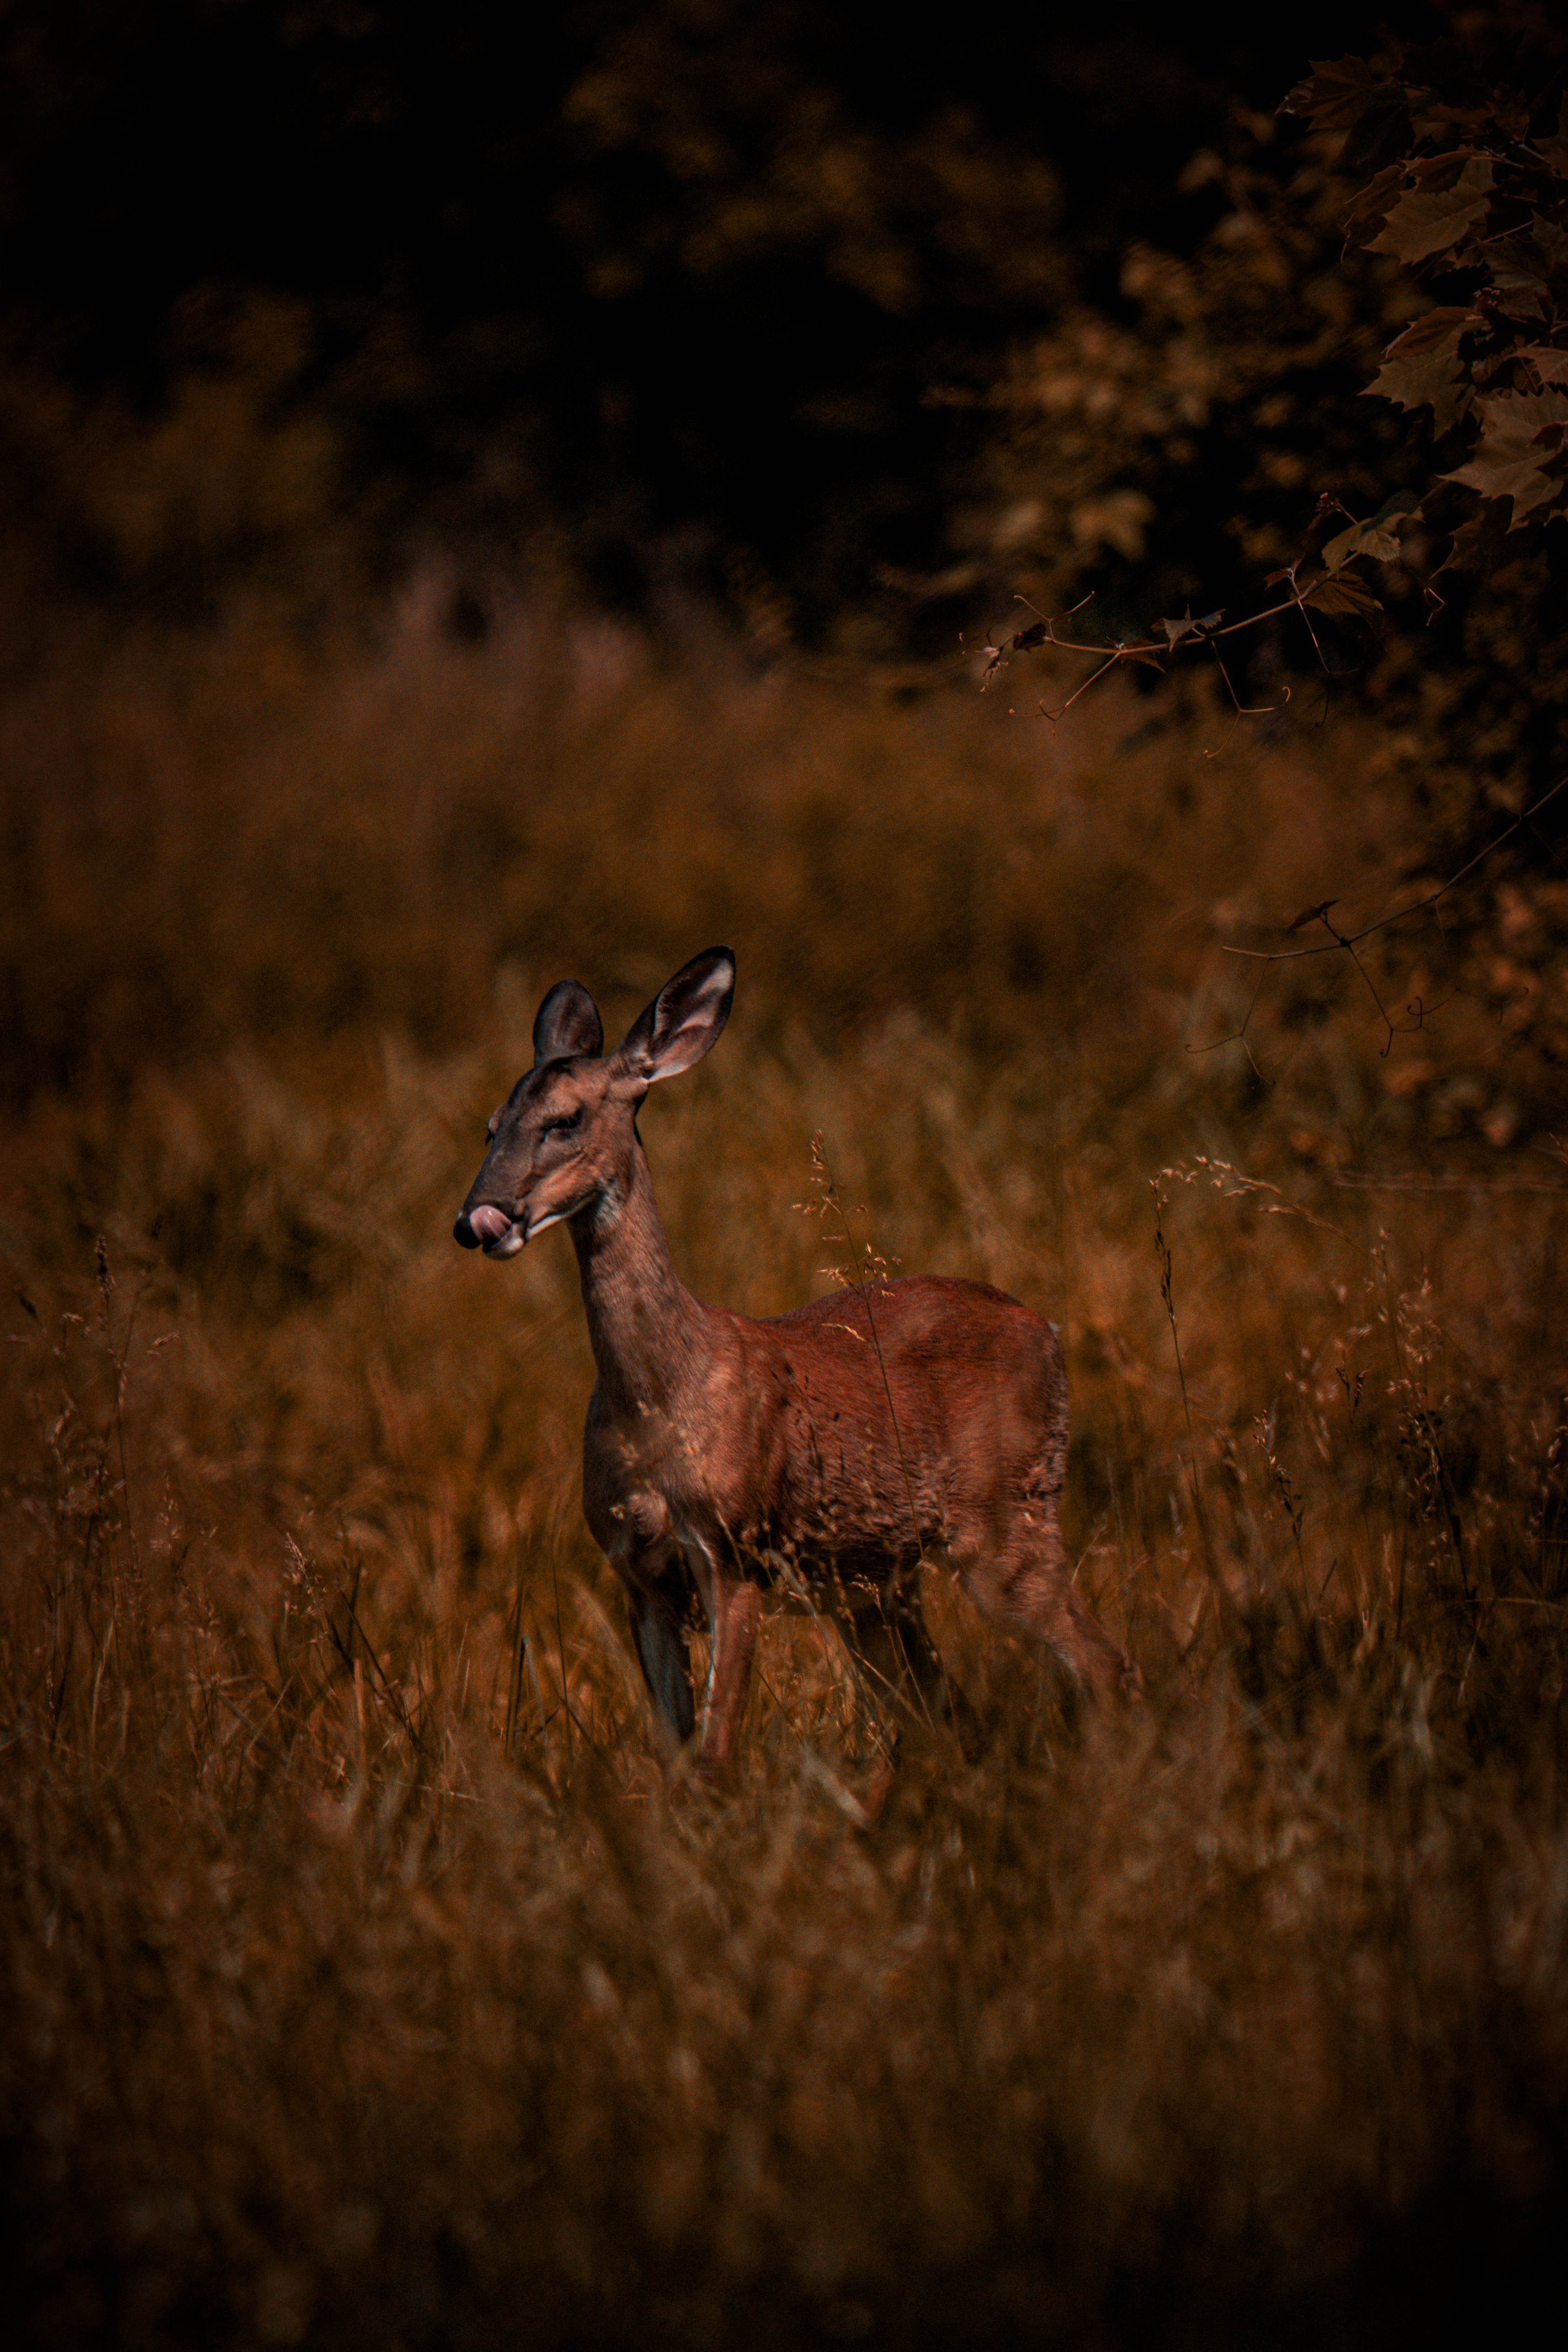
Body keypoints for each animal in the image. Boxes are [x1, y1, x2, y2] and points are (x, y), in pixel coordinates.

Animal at [453, 948, 1139, 1773]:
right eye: (490, 1126)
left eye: (566, 1120)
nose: (479, 1220)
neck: (659, 1397)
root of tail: (1048, 1329)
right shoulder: (636, 1569)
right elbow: (673, 1751)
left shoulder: (734, 1547)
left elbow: (716, 1750)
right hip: (873, 1582)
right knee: (946, 1708)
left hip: (1009, 1511)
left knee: (1103, 1662)